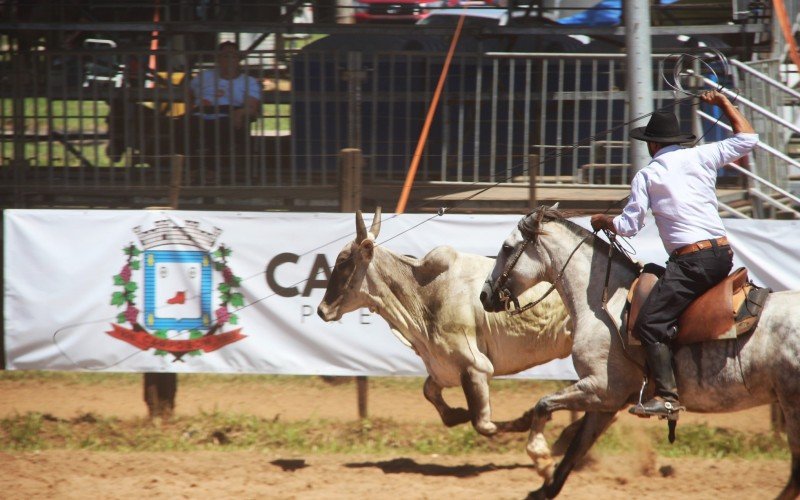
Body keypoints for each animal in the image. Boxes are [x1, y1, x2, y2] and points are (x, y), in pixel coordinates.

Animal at [316, 209, 572, 436]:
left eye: (343, 261)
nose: (321, 310)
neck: (425, 293)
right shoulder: (442, 370)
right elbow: (432, 395)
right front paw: (459, 413)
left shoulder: (477, 367)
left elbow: (484, 425)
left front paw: (526, 419)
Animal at [478, 205, 796, 498]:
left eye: (507, 248)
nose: (484, 295)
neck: (605, 302)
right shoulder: (606, 402)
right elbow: (575, 449)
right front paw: (543, 486)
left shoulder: (602, 388)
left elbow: (543, 404)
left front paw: (540, 456)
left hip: (793, 405)